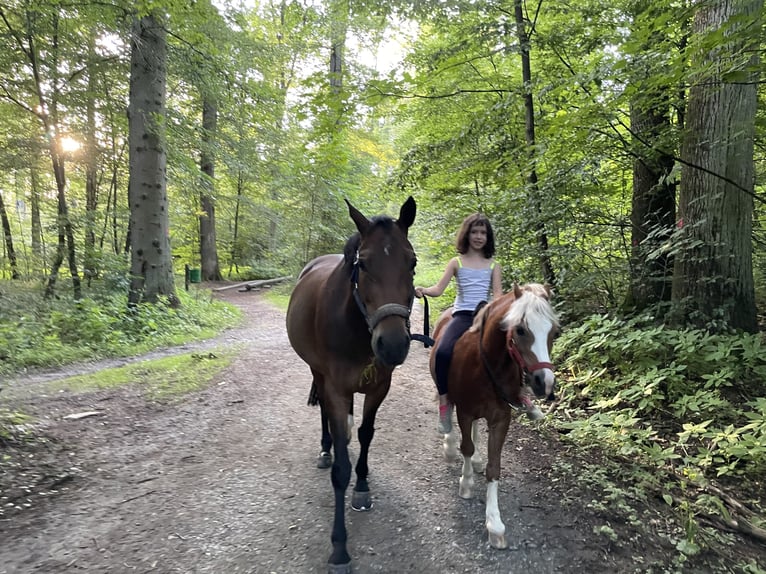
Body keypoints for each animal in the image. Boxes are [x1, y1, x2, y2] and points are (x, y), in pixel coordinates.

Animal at [288, 197, 420, 572]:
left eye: (412, 261)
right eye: (363, 263)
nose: (393, 344)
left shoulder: (378, 387)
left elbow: (365, 434)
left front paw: (361, 486)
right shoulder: (334, 387)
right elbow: (341, 469)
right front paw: (339, 547)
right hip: (318, 373)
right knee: (326, 415)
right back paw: (325, 448)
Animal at [432, 286, 560, 552]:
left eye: (554, 332)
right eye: (520, 329)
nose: (545, 383)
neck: (485, 365)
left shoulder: (501, 418)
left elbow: (494, 466)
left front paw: (494, 524)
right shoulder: (465, 411)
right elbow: (466, 447)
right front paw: (466, 483)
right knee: (446, 409)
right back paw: (449, 445)